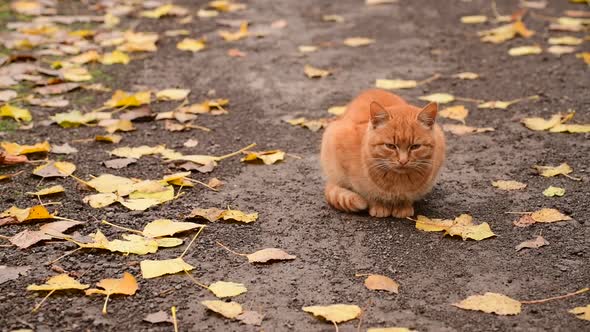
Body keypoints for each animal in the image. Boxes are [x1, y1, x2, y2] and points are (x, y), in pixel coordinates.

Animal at [322, 89, 446, 218]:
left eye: (415, 146)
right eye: (390, 146)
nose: (403, 161)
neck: (398, 182)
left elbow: (408, 197)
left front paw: (403, 206)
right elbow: (368, 194)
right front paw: (378, 205)